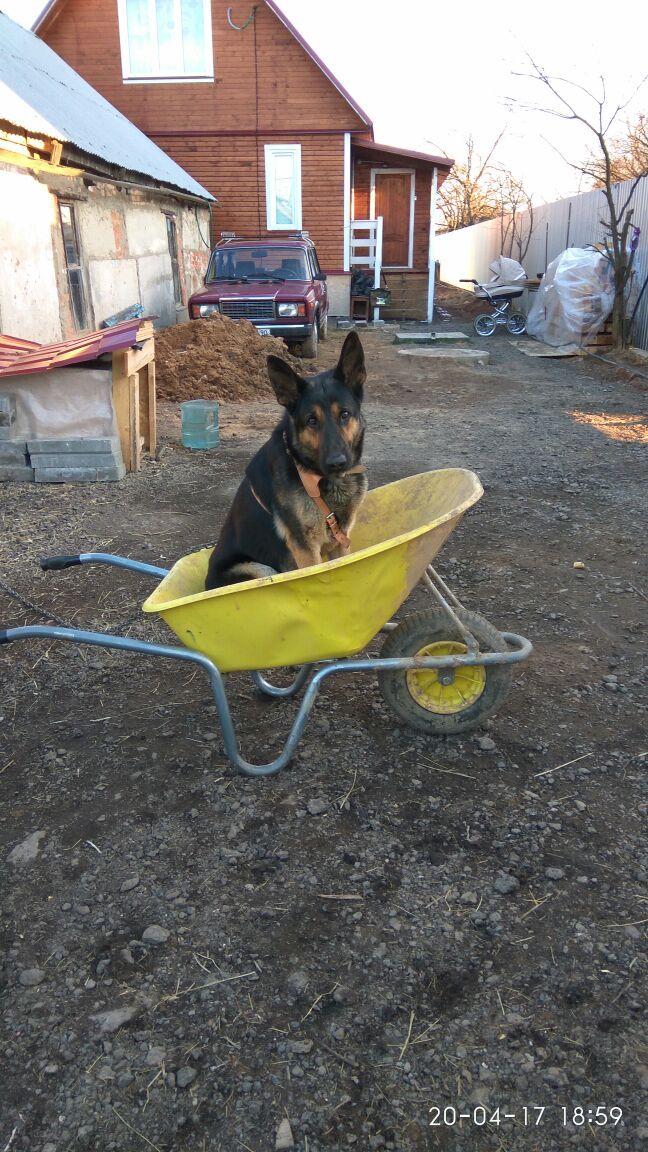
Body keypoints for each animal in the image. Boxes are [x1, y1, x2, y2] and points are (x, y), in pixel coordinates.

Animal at [204, 329, 366, 589]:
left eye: (344, 414)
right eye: (311, 420)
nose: (337, 463)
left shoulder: (340, 541)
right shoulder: (305, 548)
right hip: (259, 568)